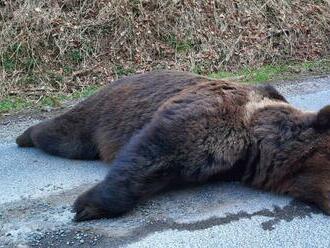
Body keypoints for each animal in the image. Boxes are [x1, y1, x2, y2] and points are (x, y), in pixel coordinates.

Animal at [16, 70, 330, 221]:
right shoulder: (210, 115)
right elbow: (152, 150)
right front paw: (87, 206)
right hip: (100, 113)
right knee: (63, 136)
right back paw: (25, 135)